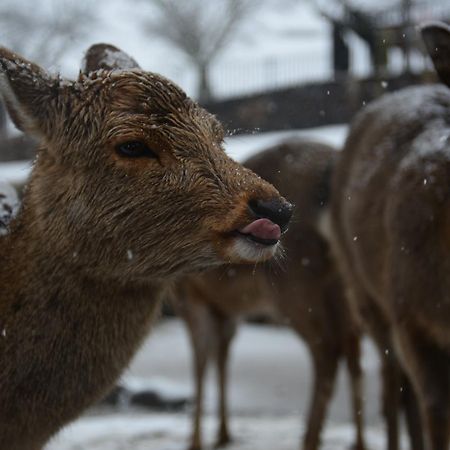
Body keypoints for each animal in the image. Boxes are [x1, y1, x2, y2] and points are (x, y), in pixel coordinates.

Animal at [174, 139, 368, 450]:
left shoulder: (189, 296)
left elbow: (200, 360)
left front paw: (195, 441)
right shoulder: (225, 308)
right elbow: (222, 356)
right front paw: (223, 433)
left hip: (296, 284)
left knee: (328, 349)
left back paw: (310, 438)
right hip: (342, 283)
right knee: (352, 345)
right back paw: (358, 441)